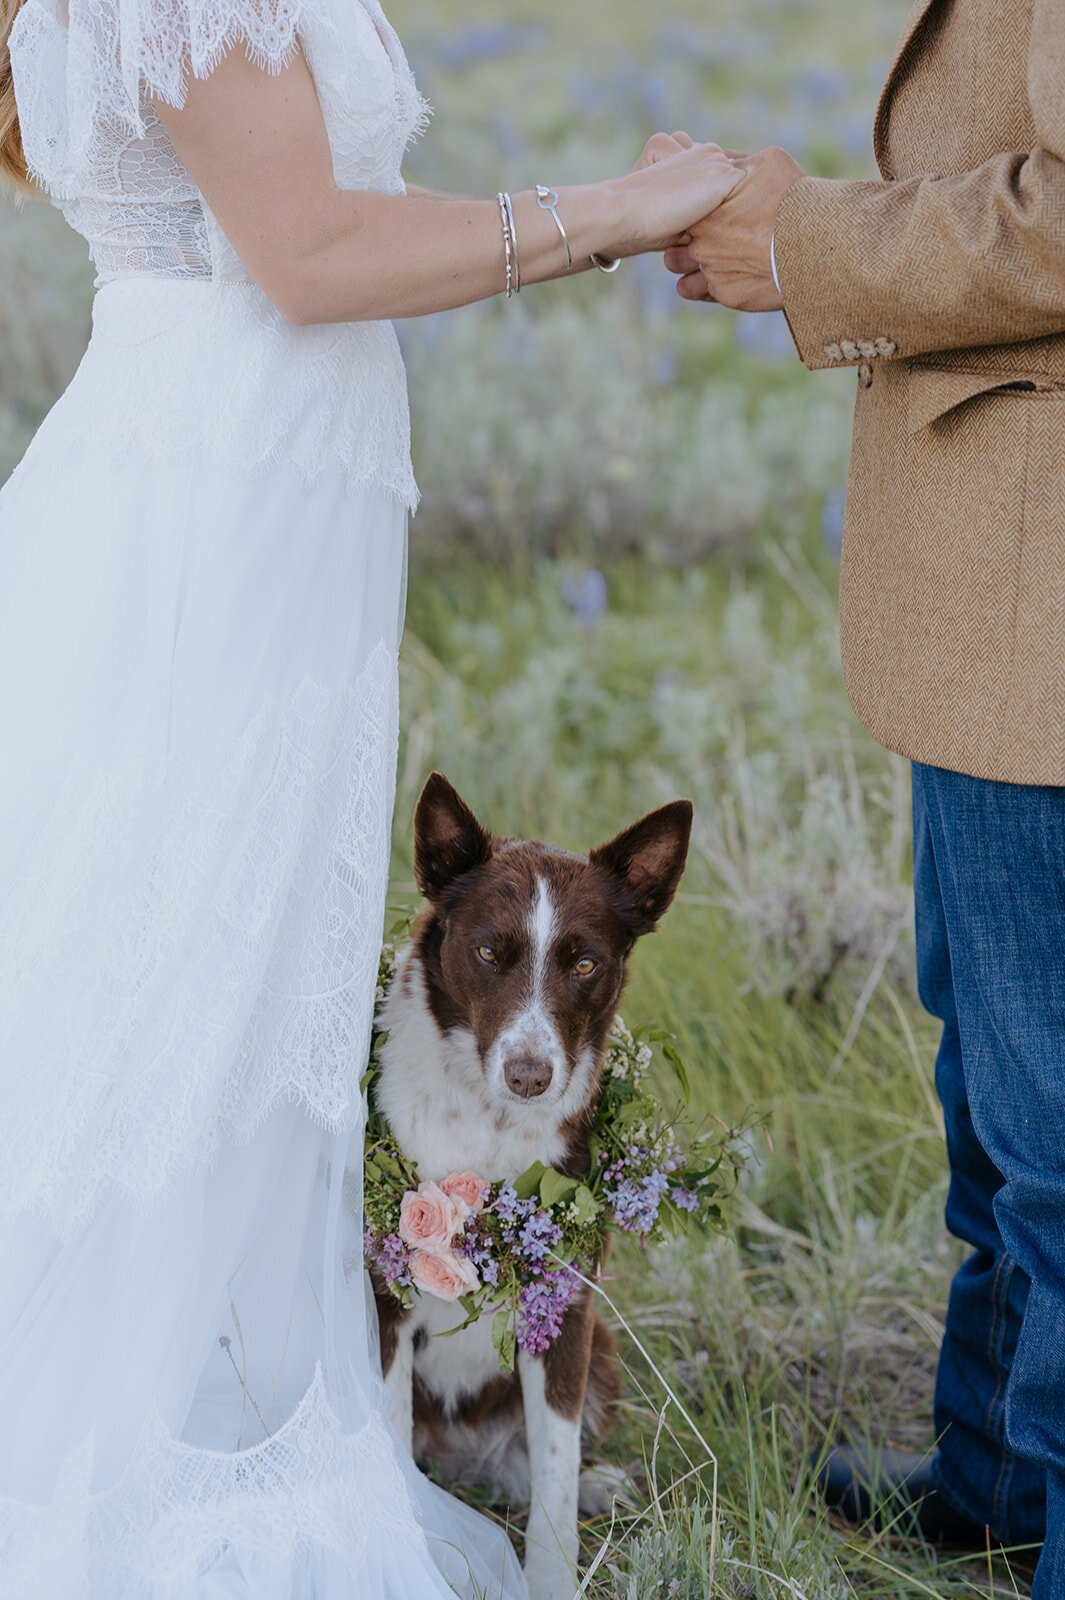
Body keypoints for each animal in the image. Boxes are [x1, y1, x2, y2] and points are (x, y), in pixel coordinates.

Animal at [369, 774, 694, 1600]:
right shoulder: (383, 1302)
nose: (529, 1076)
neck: (488, 1126)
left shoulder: (567, 1313)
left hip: (602, 1344)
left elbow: (553, 1468)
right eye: (488, 951)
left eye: (583, 965)